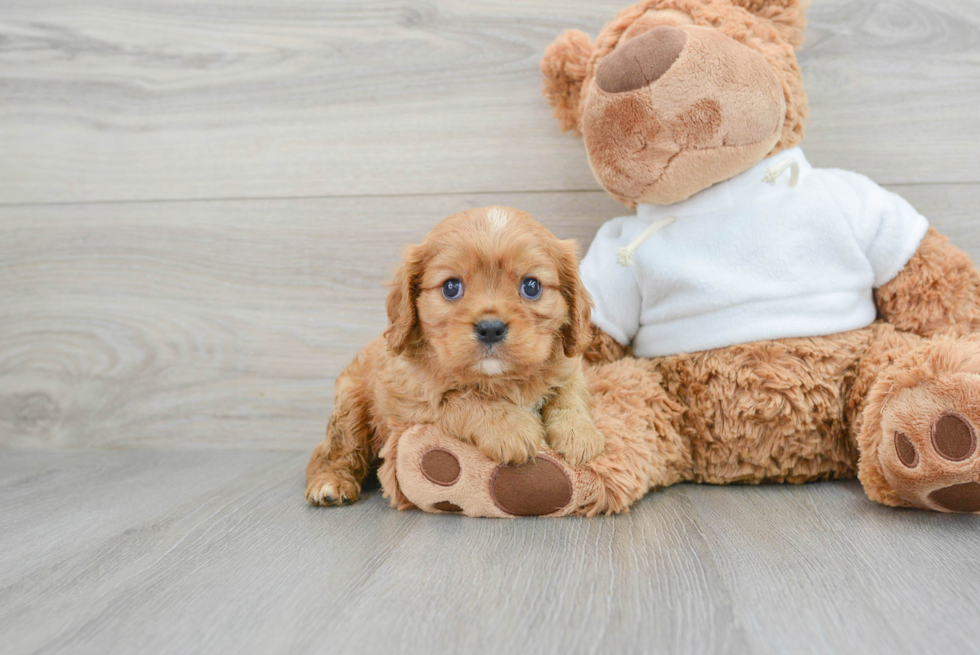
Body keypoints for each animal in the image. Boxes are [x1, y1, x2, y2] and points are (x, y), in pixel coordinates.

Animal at [308, 208, 604, 504]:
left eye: (532, 286)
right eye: (451, 287)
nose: (490, 328)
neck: (499, 380)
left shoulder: (571, 368)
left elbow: (569, 394)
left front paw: (579, 434)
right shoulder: (411, 402)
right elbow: (461, 399)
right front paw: (512, 428)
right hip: (350, 406)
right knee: (335, 449)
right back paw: (330, 482)